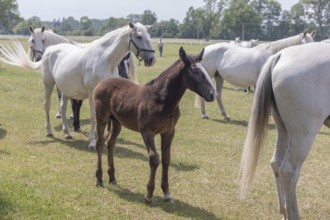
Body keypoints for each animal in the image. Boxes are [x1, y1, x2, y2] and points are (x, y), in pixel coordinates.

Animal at [0, 23, 156, 149]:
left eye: (149, 36)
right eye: (139, 36)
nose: (152, 59)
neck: (104, 59)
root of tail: (49, 50)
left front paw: (105, 140)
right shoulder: (93, 93)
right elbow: (94, 117)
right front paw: (93, 143)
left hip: (65, 88)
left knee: (63, 108)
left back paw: (68, 133)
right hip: (49, 84)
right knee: (47, 105)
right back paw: (49, 131)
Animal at [94, 47, 215, 204]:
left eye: (205, 69)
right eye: (194, 70)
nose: (212, 94)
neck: (162, 101)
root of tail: (102, 82)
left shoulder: (169, 131)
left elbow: (166, 159)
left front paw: (167, 193)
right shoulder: (147, 131)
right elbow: (154, 159)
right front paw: (149, 195)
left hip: (116, 122)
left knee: (110, 143)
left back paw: (112, 177)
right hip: (101, 118)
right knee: (100, 143)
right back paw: (99, 179)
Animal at [240, 43, 330, 220]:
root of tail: (280, 55)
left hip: (283, 129)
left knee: (276, 163)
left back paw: (284, 211)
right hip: (302, 135)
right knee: (288, 171)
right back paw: (293, 214)